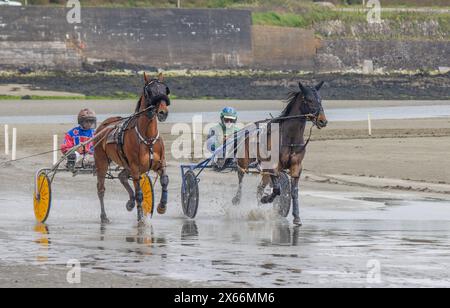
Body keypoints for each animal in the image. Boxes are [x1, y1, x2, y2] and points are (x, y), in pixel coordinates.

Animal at [95, 74, 171, 224]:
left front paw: (162, 206)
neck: (148, 138)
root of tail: (103, 126)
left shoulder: (159, 163)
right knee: (101, 189)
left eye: (164, 90)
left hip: (126, 164)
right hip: (102, 162)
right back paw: (104, 216)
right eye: (149, 92)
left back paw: (130, 202)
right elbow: (139, 194)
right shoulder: (135, 168)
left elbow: (164, 180)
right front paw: (141, 218)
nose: (162, 113)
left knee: (122, 176)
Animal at [232, 82, 326, 226]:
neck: (289, 137)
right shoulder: (273, 166)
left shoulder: (296, 166)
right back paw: (237, 199)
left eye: (320, 99)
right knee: (241, 179)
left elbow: (293, 192)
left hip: (264, 170)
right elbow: (277, 189)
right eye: (309, 100)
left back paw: (258, 209)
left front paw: (296, 217)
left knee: (259, 188)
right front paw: (267, 199)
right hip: (244, 163)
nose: (322, 120)